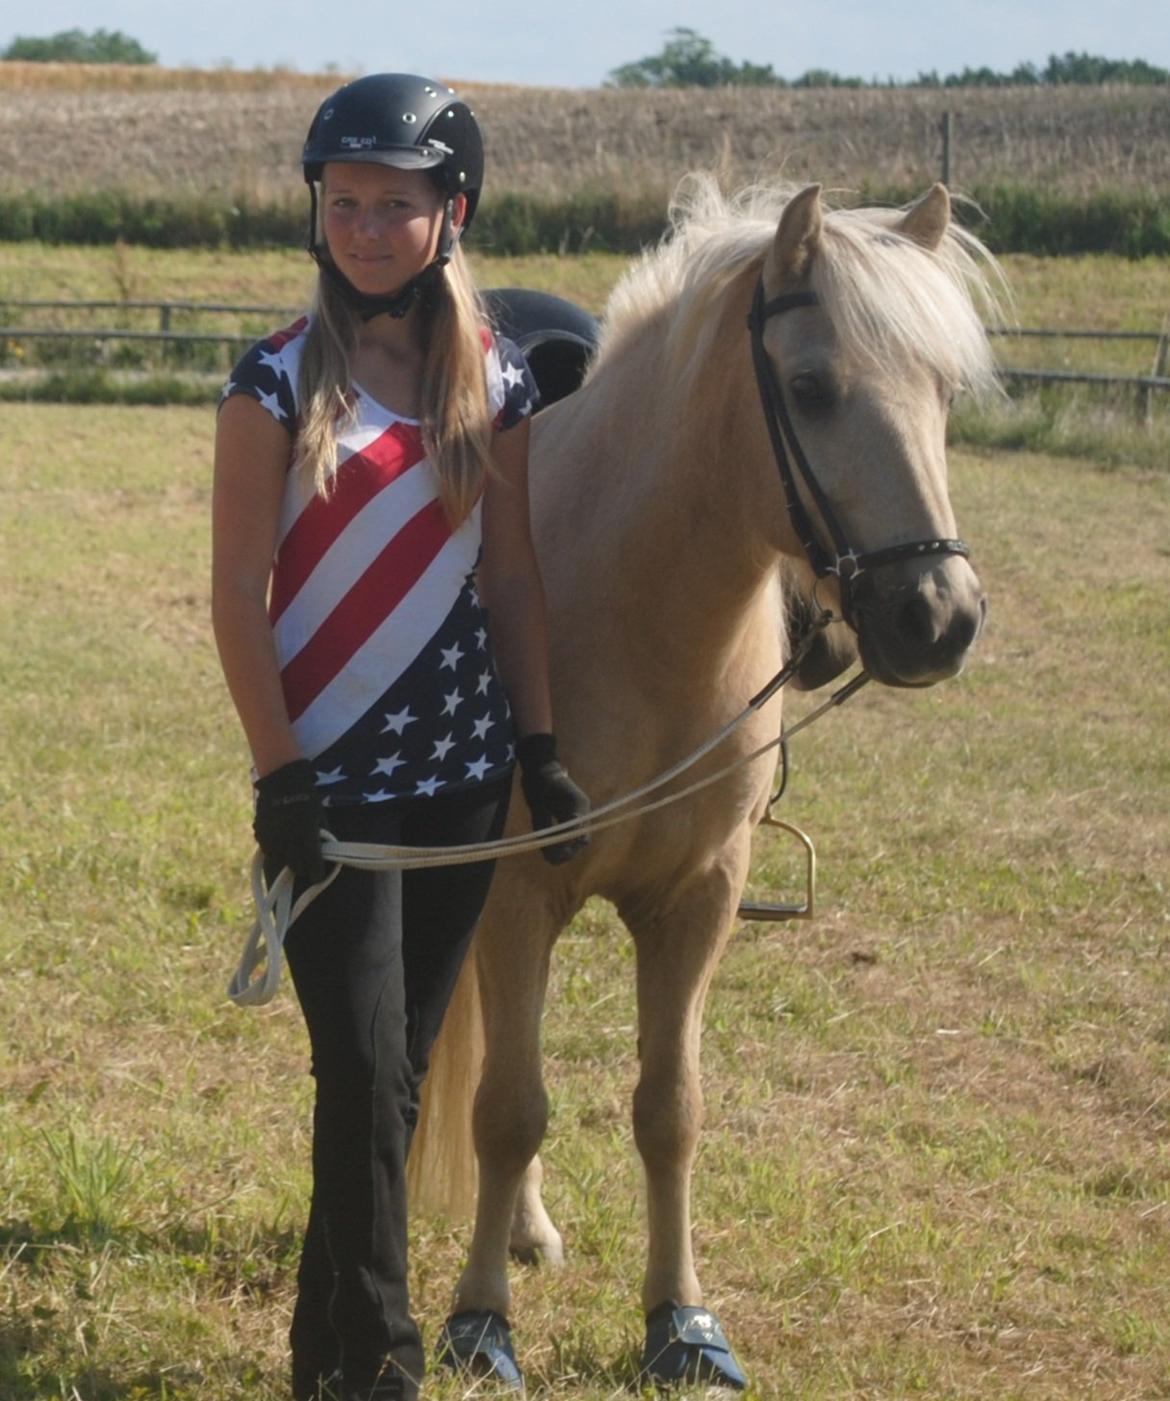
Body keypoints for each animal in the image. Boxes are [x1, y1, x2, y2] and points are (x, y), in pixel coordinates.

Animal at [417, 177, 997, 1389]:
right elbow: (507, 1108)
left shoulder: (698, 900)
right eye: (812, 388)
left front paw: (677, 1319)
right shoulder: (515, 895)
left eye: (942, 391)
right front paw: (478, 1319)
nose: (940, 616)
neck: (634, 604)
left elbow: (668, 1109)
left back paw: (531, 1228)